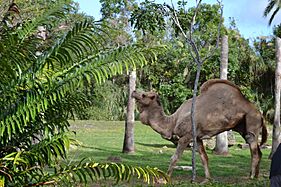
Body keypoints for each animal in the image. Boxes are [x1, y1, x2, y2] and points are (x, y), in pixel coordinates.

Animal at [131, 78, 266, 180]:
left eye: (144, 95)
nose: (133, 91)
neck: (173, 121)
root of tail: (260, 114)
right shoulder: (197, 137)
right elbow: (204, 158)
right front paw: (207, 179)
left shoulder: (186, 136)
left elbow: (174, 158)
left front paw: (164, 179)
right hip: (242, 126)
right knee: (258, 151)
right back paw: (255, 175)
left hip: (252, 120)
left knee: (254, 149)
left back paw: (251, 177)